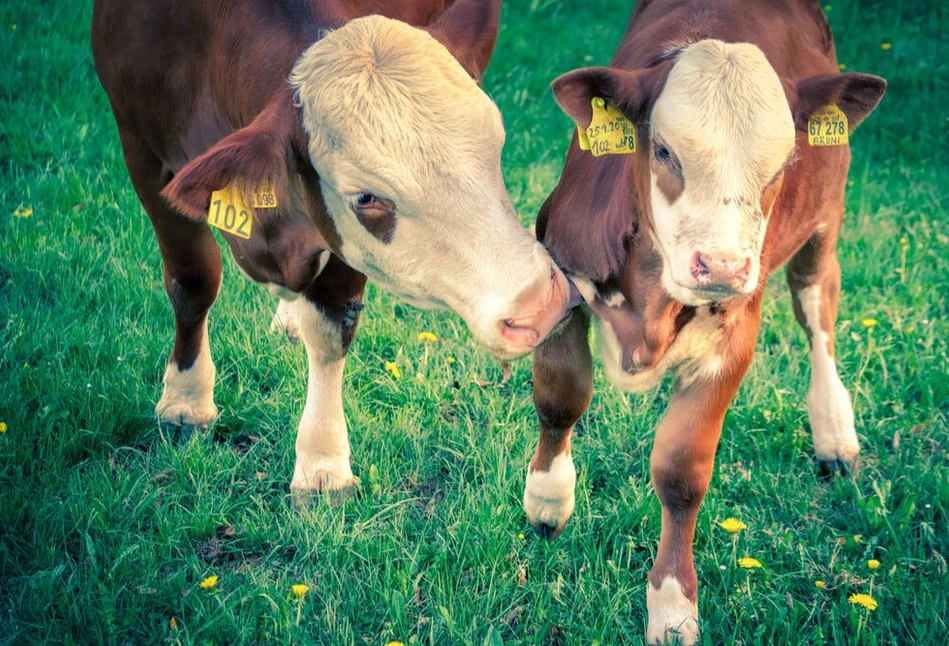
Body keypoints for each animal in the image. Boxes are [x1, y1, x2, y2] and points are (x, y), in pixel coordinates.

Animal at [94, 0, 572, 496]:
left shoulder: (337, 237)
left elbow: (329, 329)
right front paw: (184, 401)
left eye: (495, 146)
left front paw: (321, 465)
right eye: (366, 198)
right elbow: (192, 282)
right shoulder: (141, 149)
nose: (540, 305)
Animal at [524, 0, 884, 644]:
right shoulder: (559, 271)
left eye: (783, 163)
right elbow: (560, 397)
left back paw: (835, 433)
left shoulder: (734, 339)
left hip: (824, 225)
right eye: (665, 152)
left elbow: (681, 471)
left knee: (817, 311)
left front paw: (671, 608)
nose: (722, 265)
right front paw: (547, 502)